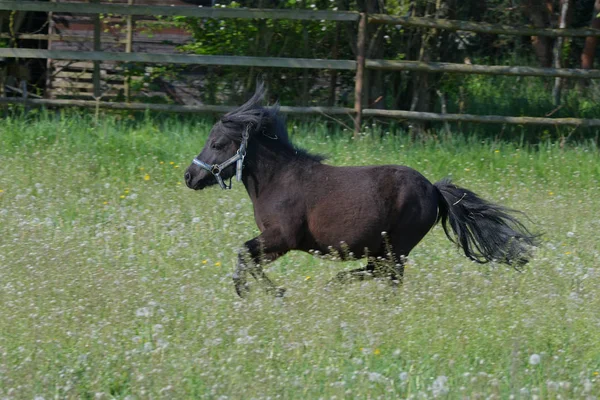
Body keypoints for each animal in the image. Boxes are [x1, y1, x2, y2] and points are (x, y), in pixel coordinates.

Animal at [184, 85, 540, 296]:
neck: (278, 180)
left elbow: (244, 253)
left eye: (217, 143)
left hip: (398, 246)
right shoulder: (276, 242)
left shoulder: (282, 238)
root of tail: (433, 189)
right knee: (378, 272)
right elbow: (247, 257)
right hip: (384, 248)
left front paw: (262, 292)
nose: (189, 176)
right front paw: (265, 291)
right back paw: (338, 283)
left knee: (389, 276)